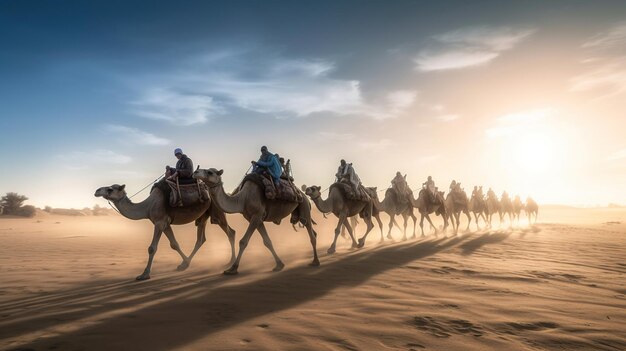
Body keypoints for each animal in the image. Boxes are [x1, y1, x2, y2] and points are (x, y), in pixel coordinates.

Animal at [94, 184, 235, 280]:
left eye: (110, 189)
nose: (96, 191)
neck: (147, 207)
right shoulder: (165, 224)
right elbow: (174, 244)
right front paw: (185, 264)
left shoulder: (159, 222)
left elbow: (152, 248)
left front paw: (144, 274)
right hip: (204, 215)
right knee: (201, 239)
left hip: (217, 210)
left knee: (230, 232)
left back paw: (231, 263)